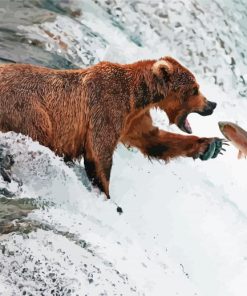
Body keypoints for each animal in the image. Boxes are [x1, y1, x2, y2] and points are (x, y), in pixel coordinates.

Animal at [0, 56, 224, 201]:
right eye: (195, 89)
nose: (212, 104)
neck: (138, 98)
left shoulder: (134, 120)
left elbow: (154, 140)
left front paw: (212, 145)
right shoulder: (107, 108)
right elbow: (99, 154)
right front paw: (108, 198)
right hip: (28, 109)